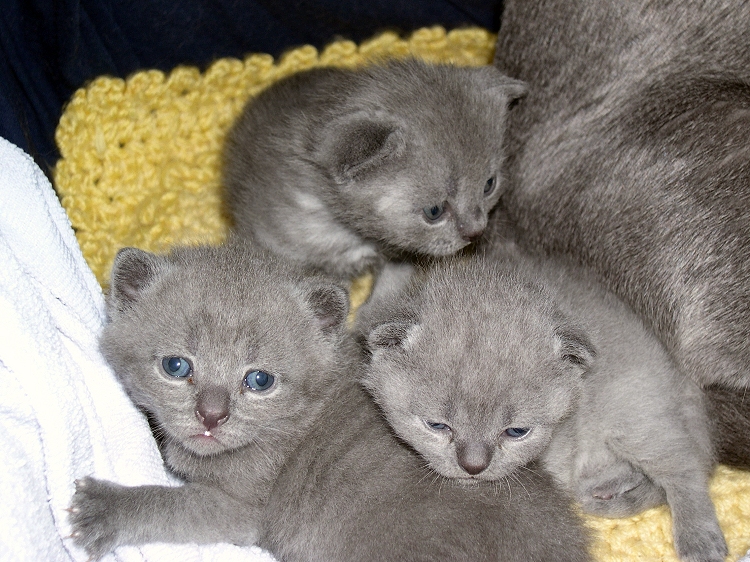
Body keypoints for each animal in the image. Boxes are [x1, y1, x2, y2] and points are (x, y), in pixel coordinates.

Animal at [68, 240, 592, 562]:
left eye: (259, 380)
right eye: (176, 367)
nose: (212, 415)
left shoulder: (243, 511)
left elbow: (174, 506)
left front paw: (106, 509)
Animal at [356, 245, 726, 562]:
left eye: (516, 432)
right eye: (437, 425)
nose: (473, 466)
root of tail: (681, 378)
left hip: (632, 414)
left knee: (685, 464)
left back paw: (700, 538)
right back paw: (607, 487)